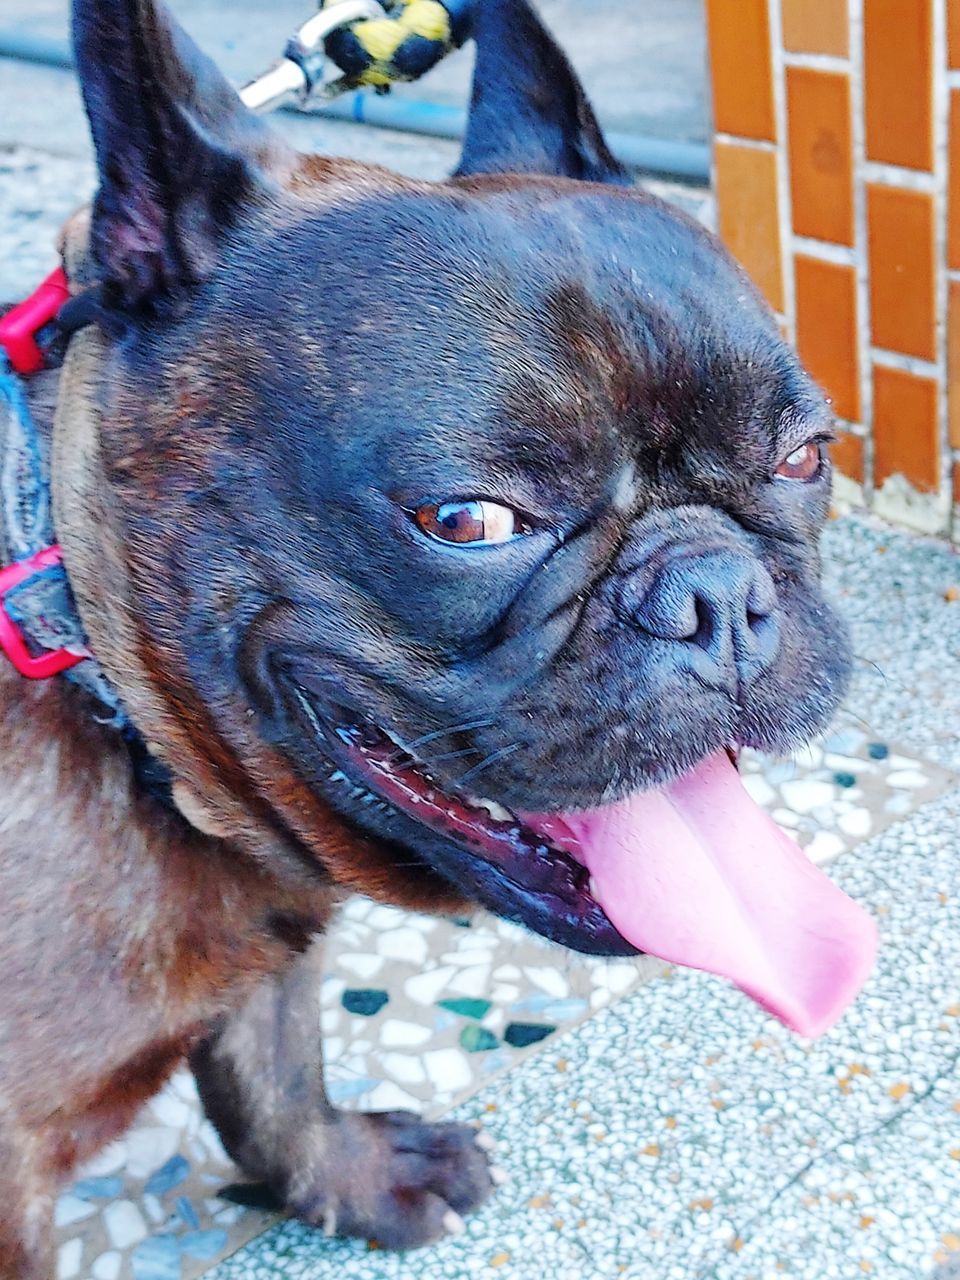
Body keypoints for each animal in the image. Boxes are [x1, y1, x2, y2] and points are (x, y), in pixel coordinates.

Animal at [0, 0, 880, 1269]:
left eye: (807, 457)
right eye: (469, 522)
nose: (719, 595)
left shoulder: (273, 935)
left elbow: (274, 1070)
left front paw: (350, 1178)